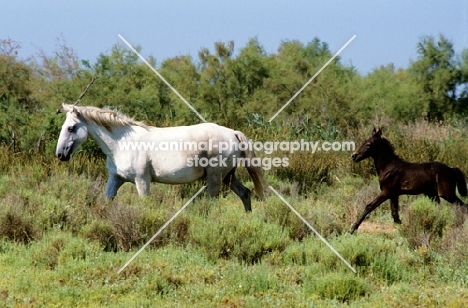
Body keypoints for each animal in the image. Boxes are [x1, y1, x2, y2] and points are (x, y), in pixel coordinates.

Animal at [54, 104, 266, 211]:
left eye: (71, 128)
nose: (60, 154)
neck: (123, 143)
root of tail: (232, 132)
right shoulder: (116, 179)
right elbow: (107, 200)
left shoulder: (142, 180)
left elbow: (145, 205)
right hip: (229, 176)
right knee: (245, 194)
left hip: (215, 178)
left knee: (212, 203)